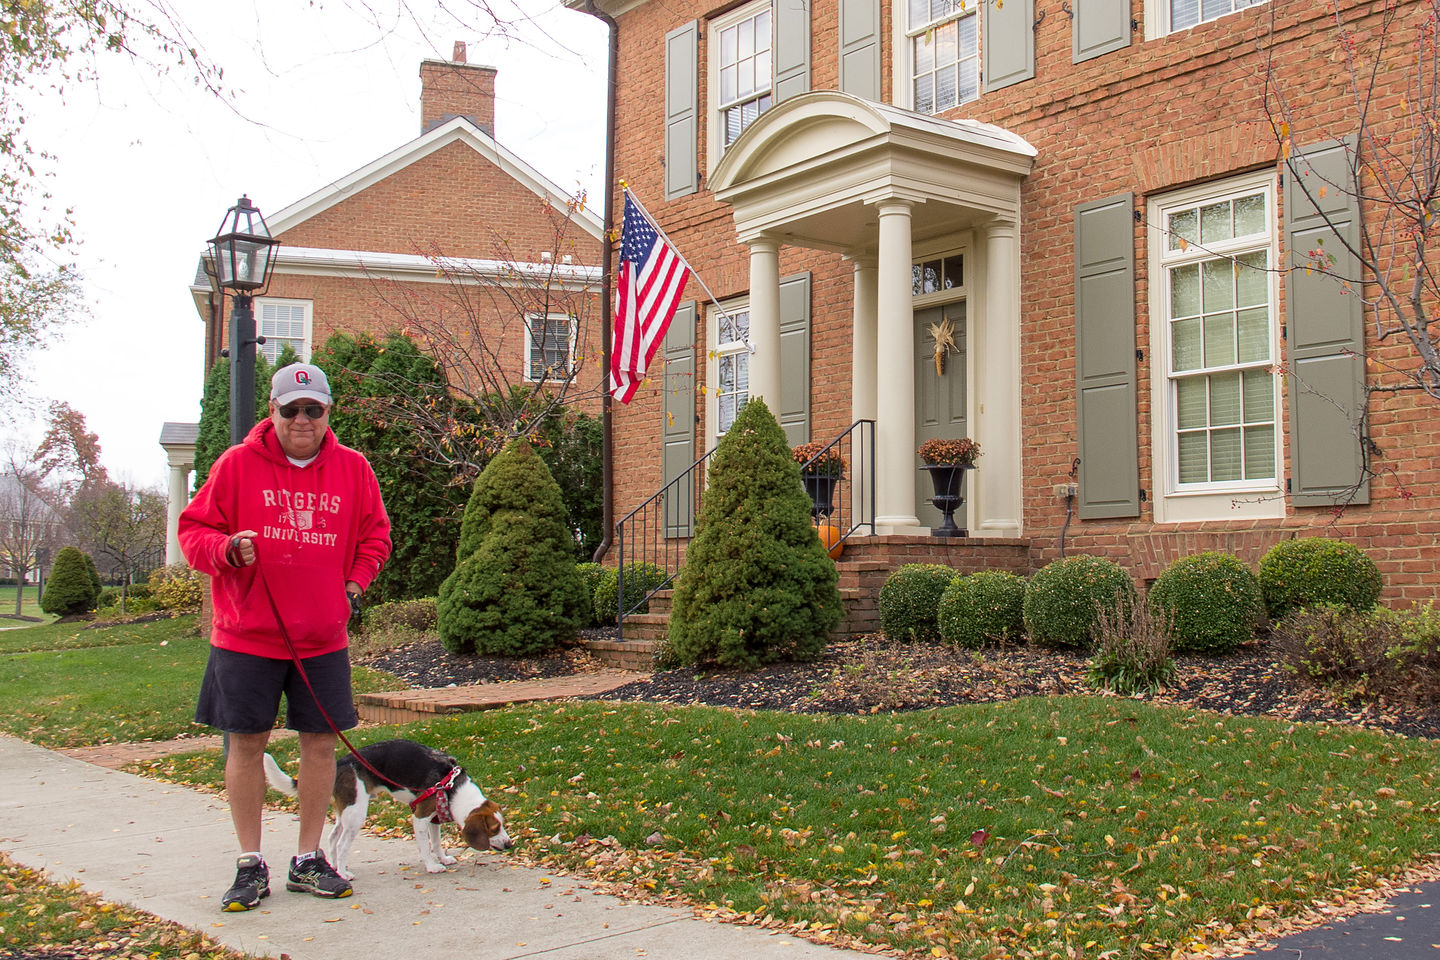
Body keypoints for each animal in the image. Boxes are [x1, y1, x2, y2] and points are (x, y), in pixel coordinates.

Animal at [264, 742, 512, 880]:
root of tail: (341, 762)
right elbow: (425, 847)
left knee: (333, 838)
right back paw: (344, 873)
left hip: (346, 812)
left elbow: (437, 843)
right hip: (356, 813)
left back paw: (335, 868)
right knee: (342, 844)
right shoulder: (420, 817)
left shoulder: (434, 818)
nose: (510, 844)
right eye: (493, 828)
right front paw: (432, 866)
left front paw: (443, 858)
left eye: (503, 824)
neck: (452, 787)